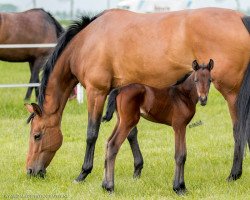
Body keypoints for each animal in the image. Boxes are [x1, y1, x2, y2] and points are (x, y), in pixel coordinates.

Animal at [101, 59, 213, 194]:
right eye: (196, 80)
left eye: (210, 80)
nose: (203, 99)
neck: (183, 96)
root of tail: (119, 89)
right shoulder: (179, 126)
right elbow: (180, 155)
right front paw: (178, 188)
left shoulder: (183, 127)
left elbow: (184, 155)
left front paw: (183, 187)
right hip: (128, 121)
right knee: (113, 145)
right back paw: (110, 187)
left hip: (120, 120)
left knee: (107, 143)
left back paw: (104, 185)